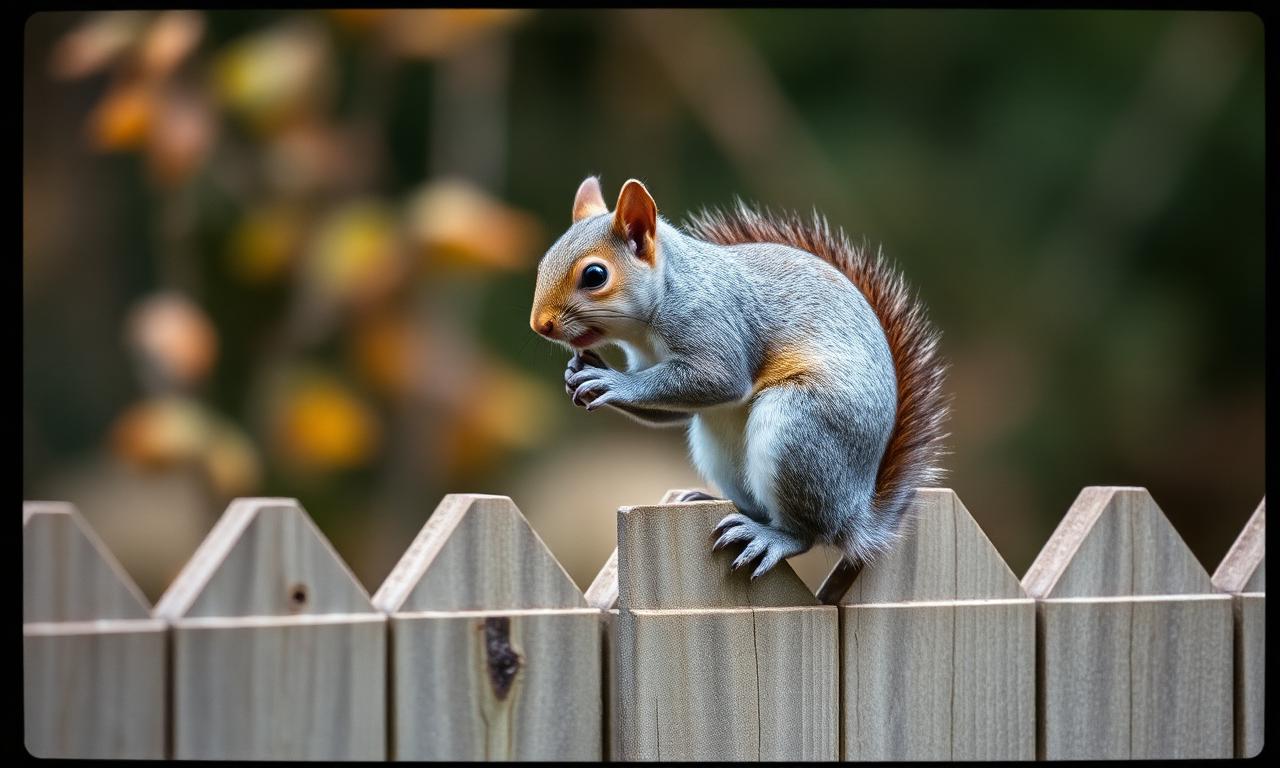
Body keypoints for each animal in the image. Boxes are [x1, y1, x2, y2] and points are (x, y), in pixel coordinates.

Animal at [530, 176, 949, 594]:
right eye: (544, 262)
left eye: (595, 276)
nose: (540, 325)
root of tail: (857, 514)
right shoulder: (648, 361)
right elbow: (665, 411)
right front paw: (580, 373)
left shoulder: (713, 323)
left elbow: (720, 379)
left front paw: (612, 381)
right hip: (722, 448)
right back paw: (707, 500)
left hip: (798, 432)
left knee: (807, 533)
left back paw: (772, 537)